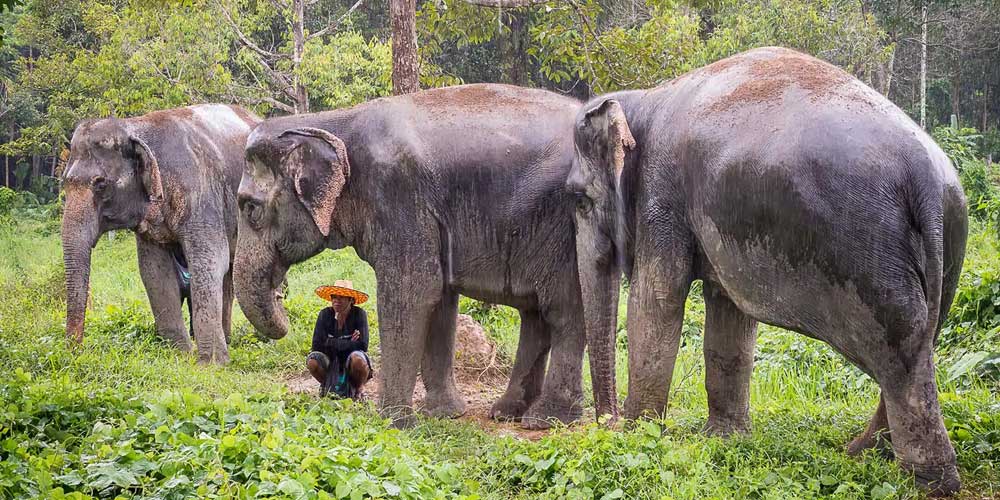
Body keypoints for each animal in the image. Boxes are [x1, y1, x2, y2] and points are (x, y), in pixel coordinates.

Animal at [62, 104, 260, 364]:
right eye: (65, 183)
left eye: (100, 184)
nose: (76, 352)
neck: (133, 126)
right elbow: (154, 271)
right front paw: (181, 355)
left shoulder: (200, 194)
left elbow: (209, 261)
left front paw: (212, 364)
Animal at [233, 83, 618, 428]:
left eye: (250, 208)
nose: (281, 298)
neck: (330, 121)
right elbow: (441, 302)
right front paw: (444, 415)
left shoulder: (399, 198)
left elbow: (412, 295)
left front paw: (394, 423)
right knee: (535, 314)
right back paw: (508, 413)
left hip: (566, 231)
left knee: (563, 311)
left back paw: (545, 420)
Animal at [566, 47, 967, 496]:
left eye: (578, 199)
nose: (607, 424)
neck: (643, 98)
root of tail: (926, 177)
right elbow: (729, 314)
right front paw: (724, 440)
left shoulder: (662, 194)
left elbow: (656, 300)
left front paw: (640, 437)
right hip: (949, 241)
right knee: (922, 340)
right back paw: (864, 451)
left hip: (874, 252)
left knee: (902, 356)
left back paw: (928, 482)